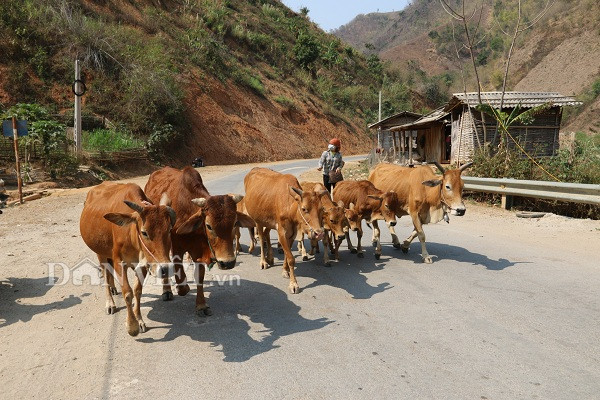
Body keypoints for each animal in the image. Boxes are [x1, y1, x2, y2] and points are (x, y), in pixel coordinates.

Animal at [79, 183, 175, 336]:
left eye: (169, 230)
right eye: (144, 232)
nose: (166, 268)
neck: (131, 235)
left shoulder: (144, 265)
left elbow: (137, 291)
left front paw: (139, 320)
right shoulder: (119, 261)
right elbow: (128, 293)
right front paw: (132, 326)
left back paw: (113, 288)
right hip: (100, 253)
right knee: (105, 274)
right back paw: (110, 302)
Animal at [145, 166, 248, 316]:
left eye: (235, 223)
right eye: (209, 226)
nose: (228, 263)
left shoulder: (199, 251)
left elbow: (200, 277)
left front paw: (201, 305)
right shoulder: (176, 247)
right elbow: (179, 272)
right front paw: (182, 288)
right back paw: (167, 291)